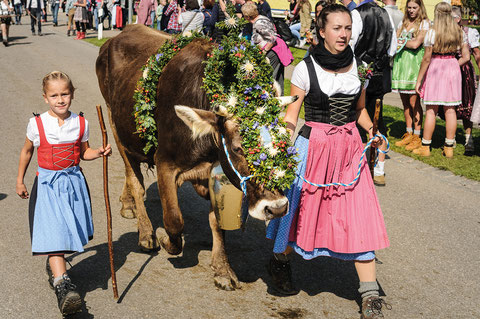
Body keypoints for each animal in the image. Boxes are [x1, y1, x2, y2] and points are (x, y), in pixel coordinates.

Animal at [95, 24, 292, 290]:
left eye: (285, 142)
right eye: (238, 148)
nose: (278, 208)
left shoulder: (215, 173)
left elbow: (217, 222)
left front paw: (222, 270)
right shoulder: (164, 163)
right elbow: (173, 219)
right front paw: (167, 242)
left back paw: (127, 204)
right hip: (115, 125)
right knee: (135, 179)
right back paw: (145, 232)